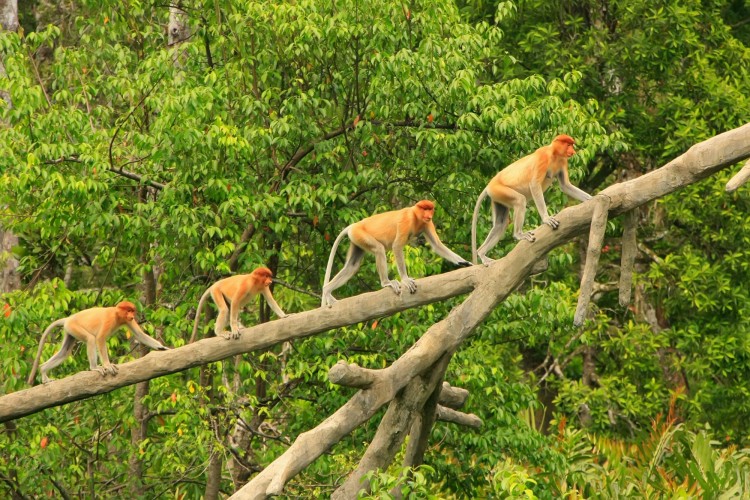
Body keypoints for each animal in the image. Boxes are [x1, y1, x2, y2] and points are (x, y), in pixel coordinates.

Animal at [27, 301, 169, 385]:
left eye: (132, 311)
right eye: (128, 310)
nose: (132, 315)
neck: (117, 314)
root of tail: (68, 319)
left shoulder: (127, 320)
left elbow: (140, 335)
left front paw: (163, 348)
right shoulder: (110, 319)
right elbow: (100, 339)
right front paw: (107, 365)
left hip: (69, 330)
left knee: (64, 352)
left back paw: (43, 371)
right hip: (74, 327)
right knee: (91, 339)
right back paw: (94, 367)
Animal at [321, 200, 471, 307]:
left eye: (430, 209)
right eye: (425, 209)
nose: (429, 215)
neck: (415, 215)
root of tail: (354, 225)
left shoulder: (427, 224)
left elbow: (437, 245)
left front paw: (464, 262)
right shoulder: (406, 221)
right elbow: (397, 246)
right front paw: (405, 279)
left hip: (356, 239)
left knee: (352, 266)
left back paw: (327, 290)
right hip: (360, 234)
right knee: (379, 249)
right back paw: (386, 283)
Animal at [471, 134, 592, 265]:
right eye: (569, 144)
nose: (573, 151)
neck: (554, 154)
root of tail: (489, 185)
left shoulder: (563, 161)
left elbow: (565, 186)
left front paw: (592, 198)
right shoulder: (543, 157)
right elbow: (534, 184)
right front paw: (547, 219)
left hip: (497, 197)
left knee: (500, 224)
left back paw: (482, 253)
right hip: (499, 190)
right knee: (520, 200)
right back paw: (519, 235)